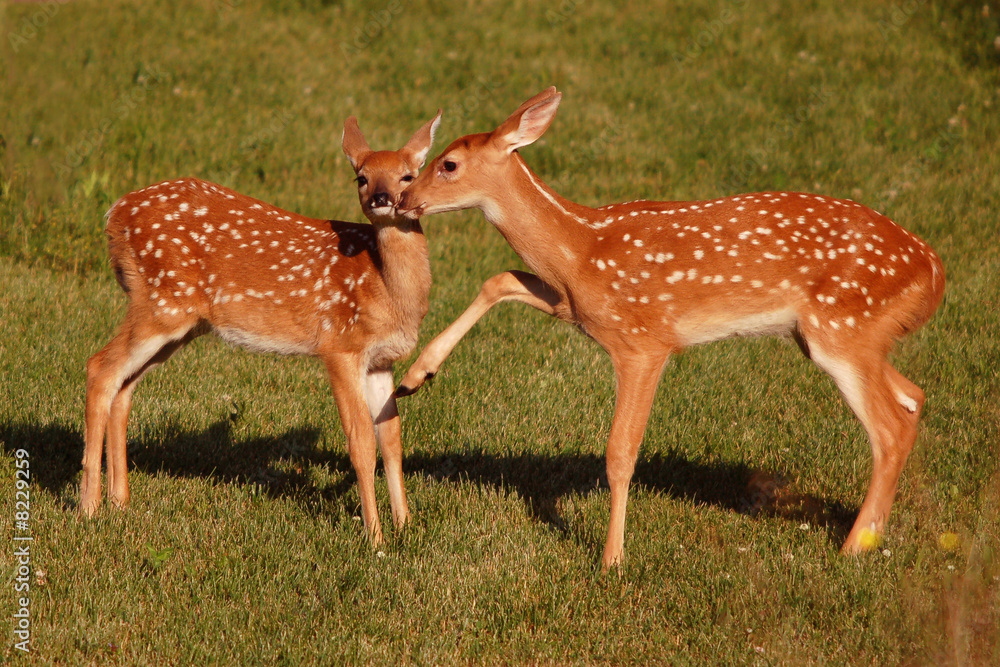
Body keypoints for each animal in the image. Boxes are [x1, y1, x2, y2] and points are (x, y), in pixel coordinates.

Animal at [84, 111, 444, 548]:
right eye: (361, 176)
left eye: (408, 175)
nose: (381, 197)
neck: (385, 287)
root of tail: (114, 214)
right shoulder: (339, 344)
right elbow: (361, 443)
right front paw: (374, 539)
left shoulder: (380, 360)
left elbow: (391, 441)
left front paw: (405, 526)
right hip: (161, 303)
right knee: (99, 367)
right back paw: (89, 508)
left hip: (178, 322)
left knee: (124, 385)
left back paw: (120, 503)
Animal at [398, 88, 944, 568]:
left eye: (448, 164)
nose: (402, 200)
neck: (581, 250)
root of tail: (935, 272)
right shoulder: (573, 307)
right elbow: (501, 278)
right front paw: (414, 377)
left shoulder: (642, 342)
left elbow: (620, 454)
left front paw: (612, 560)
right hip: (838, 337)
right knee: (912, 397)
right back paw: (872, 532)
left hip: (843, 327)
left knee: (890, 429)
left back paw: (853, 547)